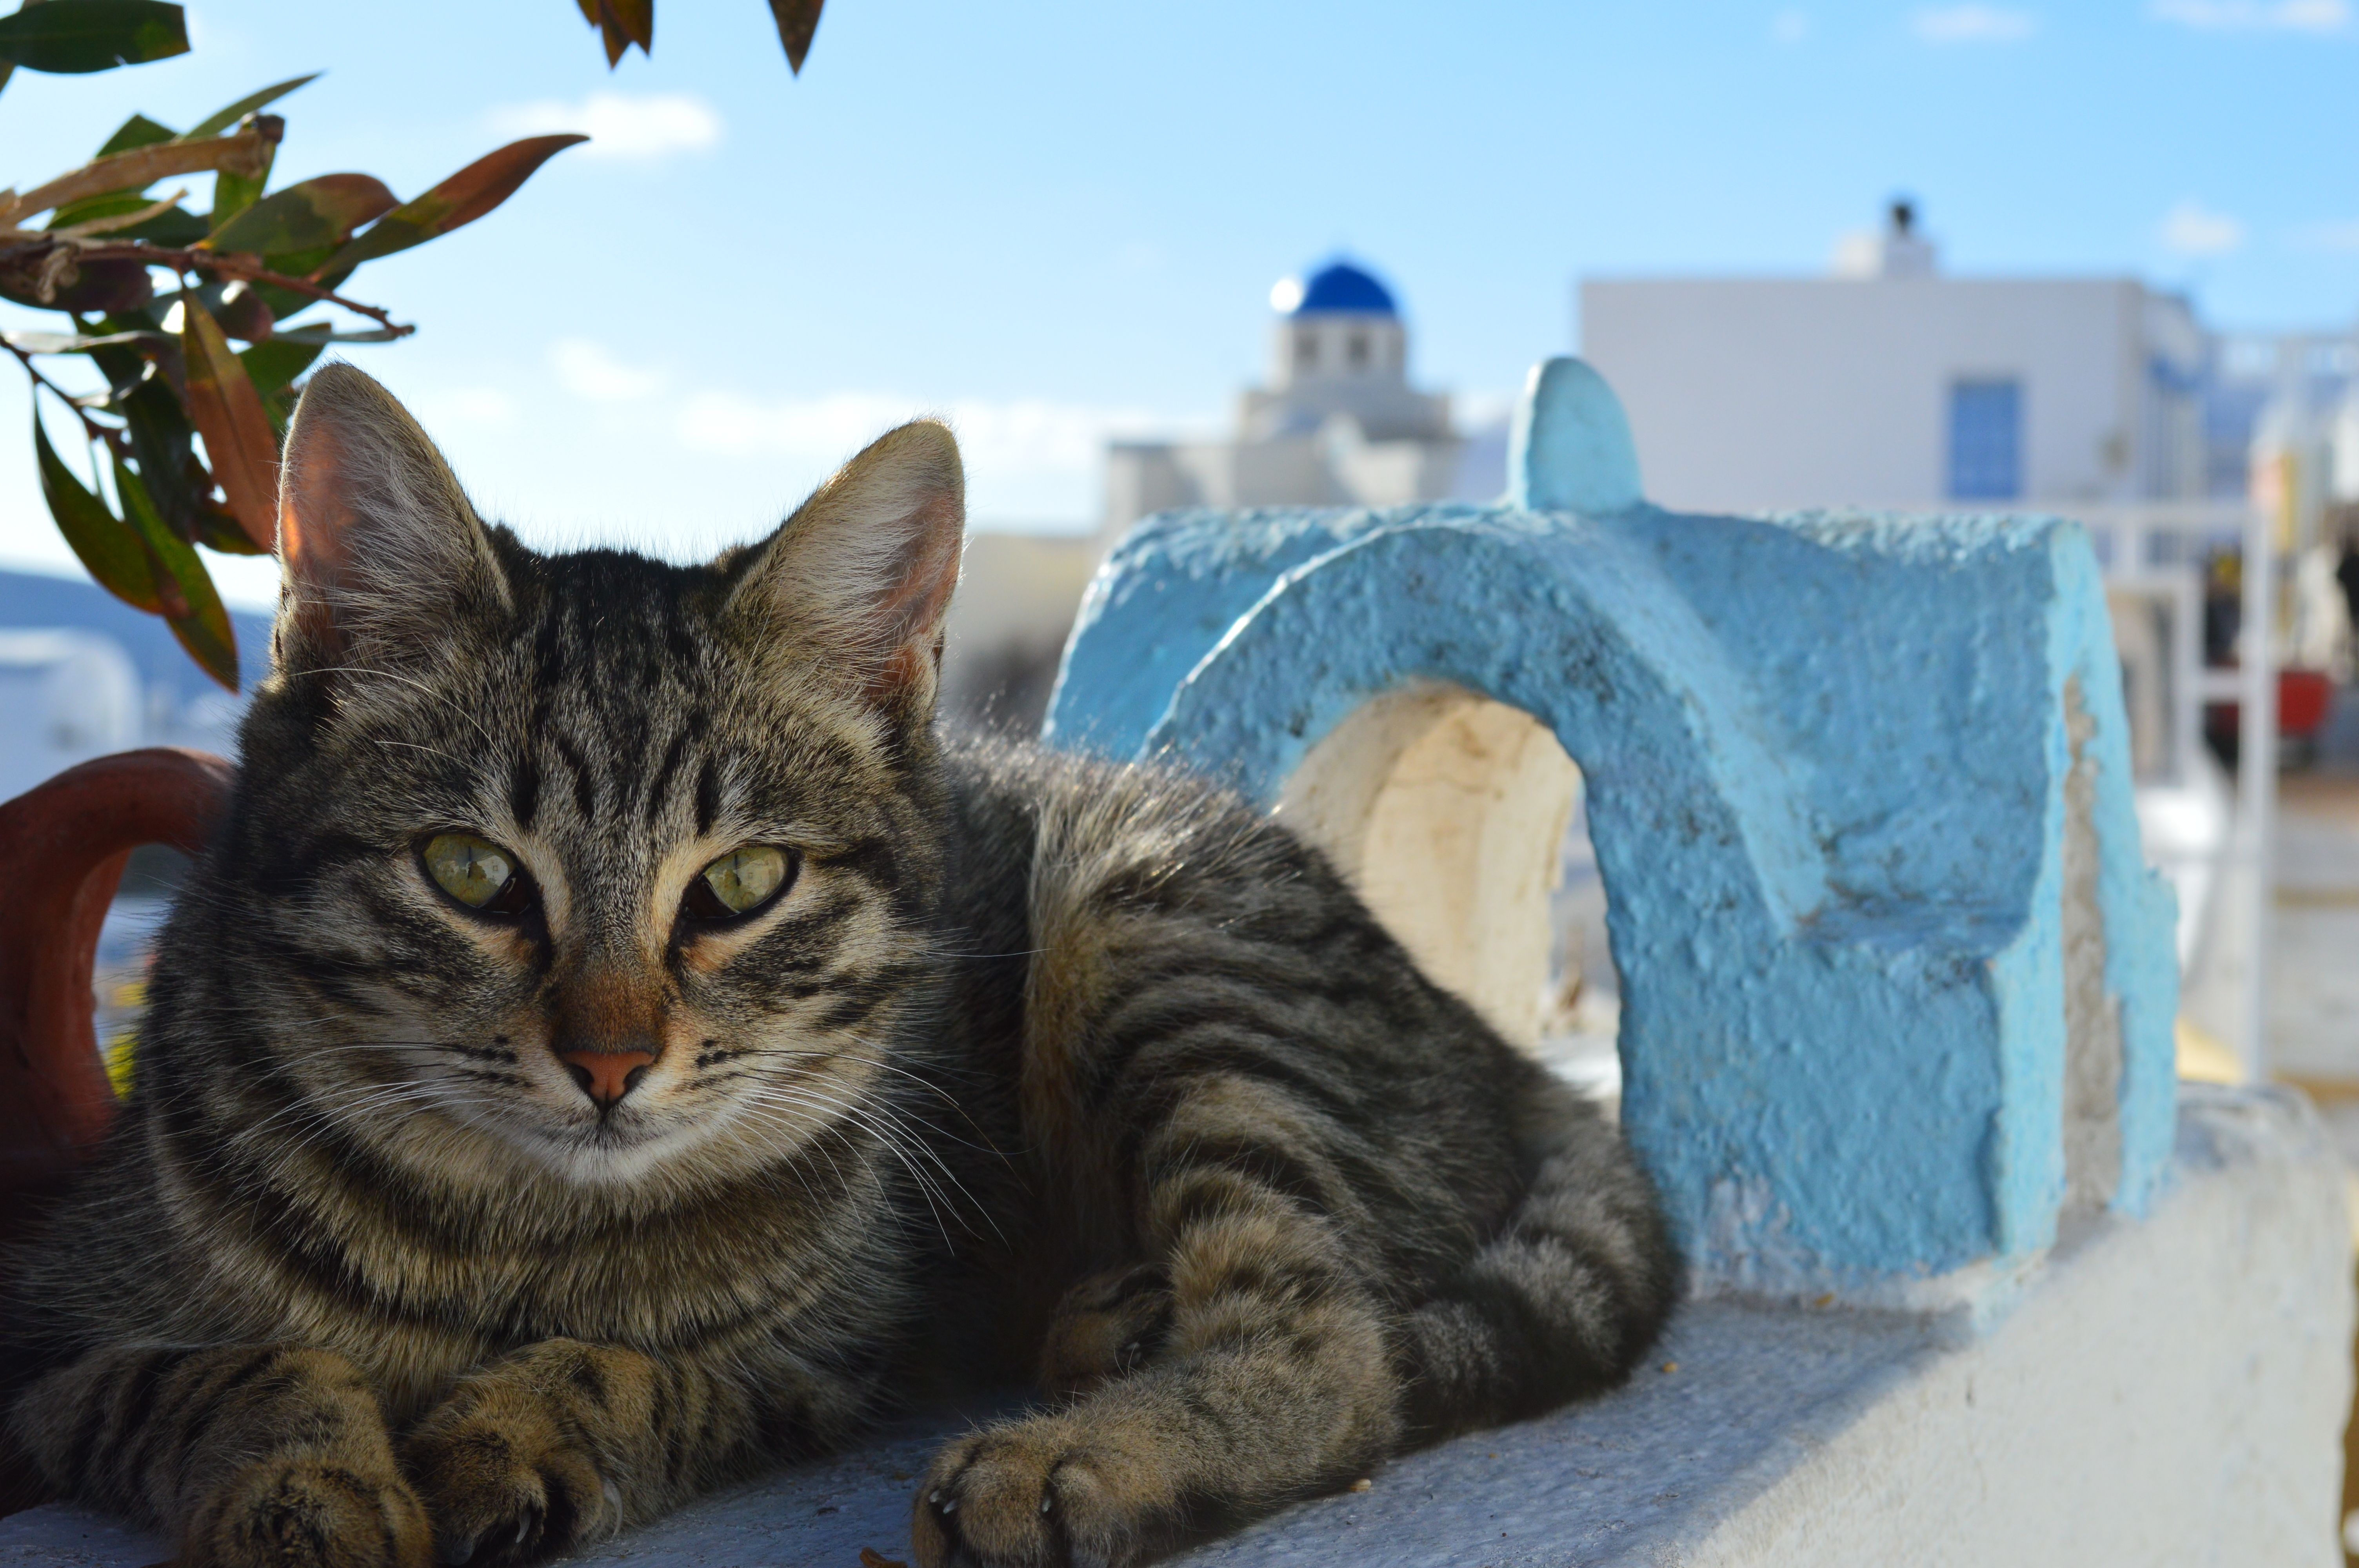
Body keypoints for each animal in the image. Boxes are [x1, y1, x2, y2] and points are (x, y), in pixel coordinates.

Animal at [0, 368, 1679, 1565]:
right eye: (471, 873)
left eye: (740, 885)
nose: (608, 1064)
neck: (515, 1241)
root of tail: (1492, 1045)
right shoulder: (31, 1328)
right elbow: (217, 1371)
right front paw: (308, 1491)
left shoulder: (847, 1347)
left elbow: (646, 1368)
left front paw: (525, 1419)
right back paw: (1106, 1320)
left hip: (1155, 927)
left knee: (1330, 1351)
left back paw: (1079, 1453)